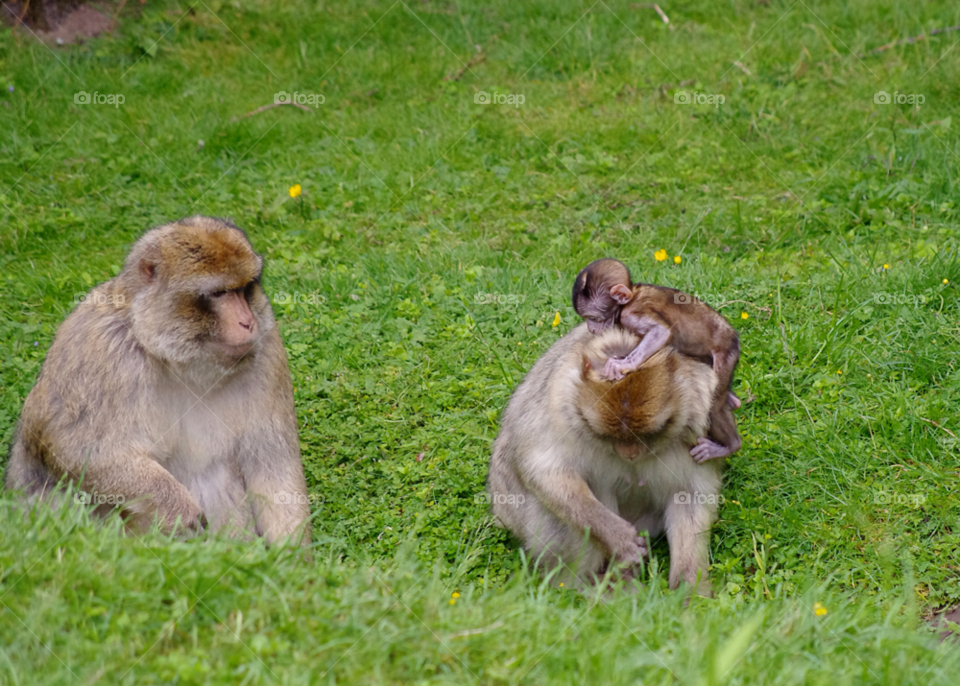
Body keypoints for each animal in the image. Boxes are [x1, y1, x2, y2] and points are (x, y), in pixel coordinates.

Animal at [4, 218, 312, 544]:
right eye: (219, 294)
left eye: (244, 289)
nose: (247, 322)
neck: (177, 359)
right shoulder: (99, 345)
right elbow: (71, 445)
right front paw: (178, 508)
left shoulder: (267, 348)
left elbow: (272, 464)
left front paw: (290, 554)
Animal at [488, 326, 720, 592]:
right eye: (607, 434)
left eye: (651, 433)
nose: (630, 454)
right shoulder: (560, 410)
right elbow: (544, 472)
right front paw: (617, 538)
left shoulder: (703, 422)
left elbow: (689, 495)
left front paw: (689, 589)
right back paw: (586, 586)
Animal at [568, 260, 744, 464]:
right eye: (586, 318)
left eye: (593, 318)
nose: (591, 328)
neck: (631, 297)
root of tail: (733, 337)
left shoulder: (631, 315)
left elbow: (661, 332)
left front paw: (623, 364)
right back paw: (734, 402)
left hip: (726, 353)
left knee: (715, 404)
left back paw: (731, 445)